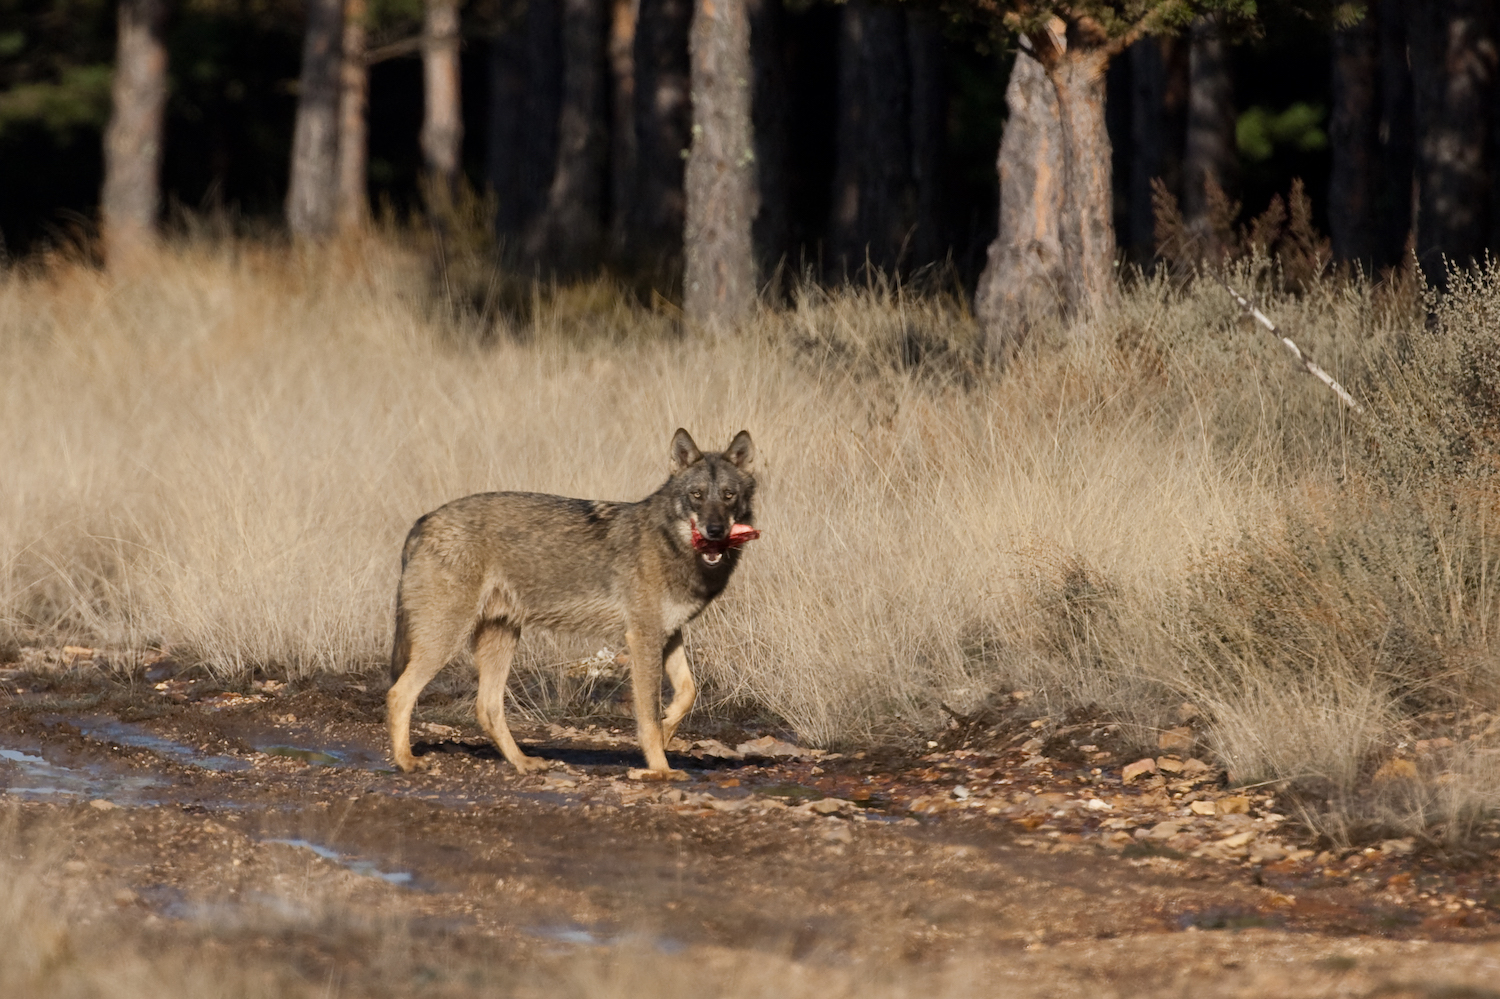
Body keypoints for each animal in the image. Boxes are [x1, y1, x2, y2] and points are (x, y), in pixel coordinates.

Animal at [387, 428, 757, 778]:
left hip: (501, 638)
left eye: (729, 495)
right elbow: (649, 715)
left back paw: (523, 762)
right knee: (399, 694)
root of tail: (424, 520)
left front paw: (667, 734)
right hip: (446, 641)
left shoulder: (668, 634)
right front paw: (661, 769)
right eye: (697, 495)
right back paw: (406, 761)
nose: (714, 530)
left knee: (486, 708)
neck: (673, 546)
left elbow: (686, 693)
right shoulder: (643, 638)